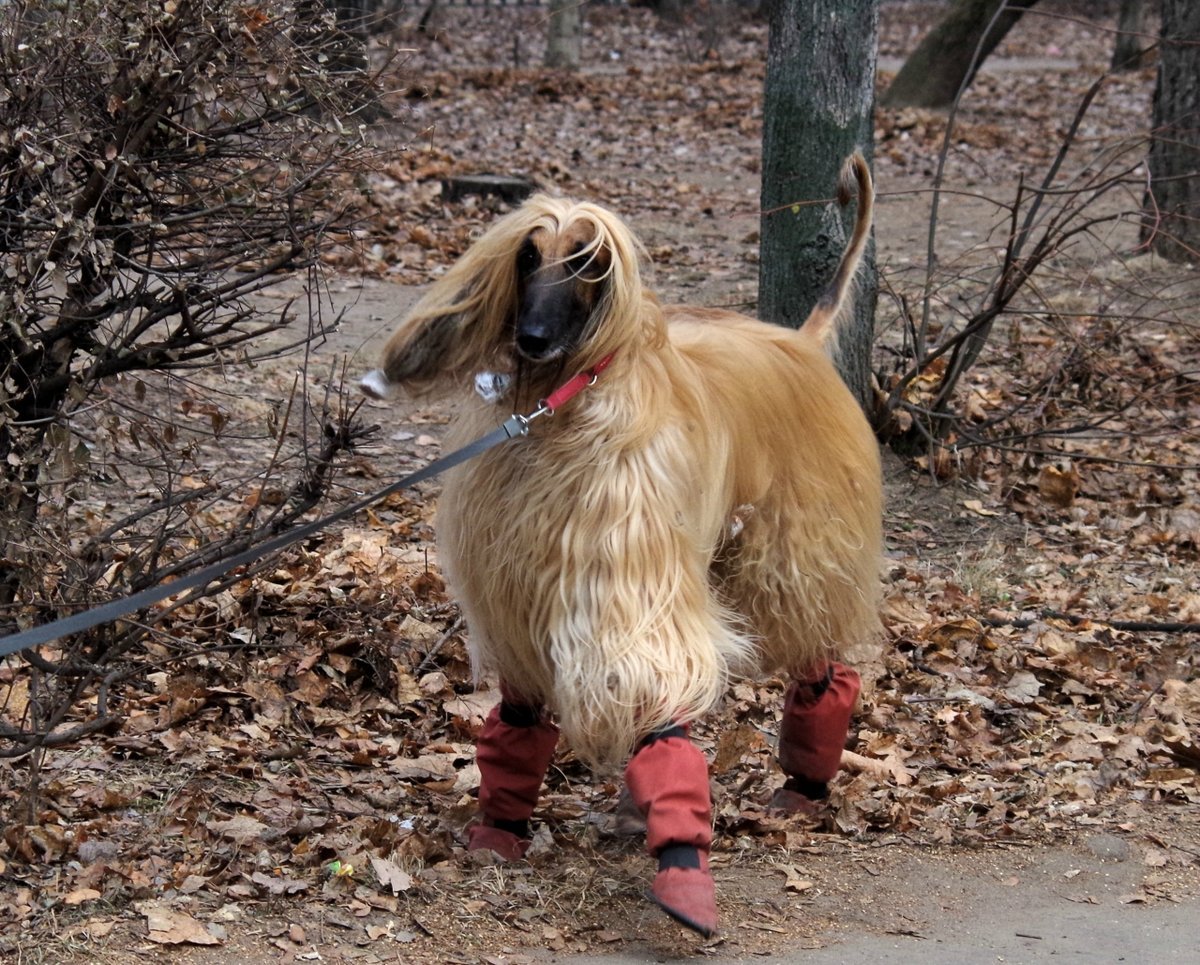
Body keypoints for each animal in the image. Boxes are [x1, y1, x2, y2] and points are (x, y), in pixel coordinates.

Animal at [364, 156, 883, 936]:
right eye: (527, 258)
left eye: (589, 262)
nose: (533, 338)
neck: (561, 405)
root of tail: (801, 341)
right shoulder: (522, 585)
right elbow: (520, 716)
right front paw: (499, 828)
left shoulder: (622, 568)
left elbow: (647, 687)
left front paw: (683, 872)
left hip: (794, 546)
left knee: (819, 658)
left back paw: (804, 784)